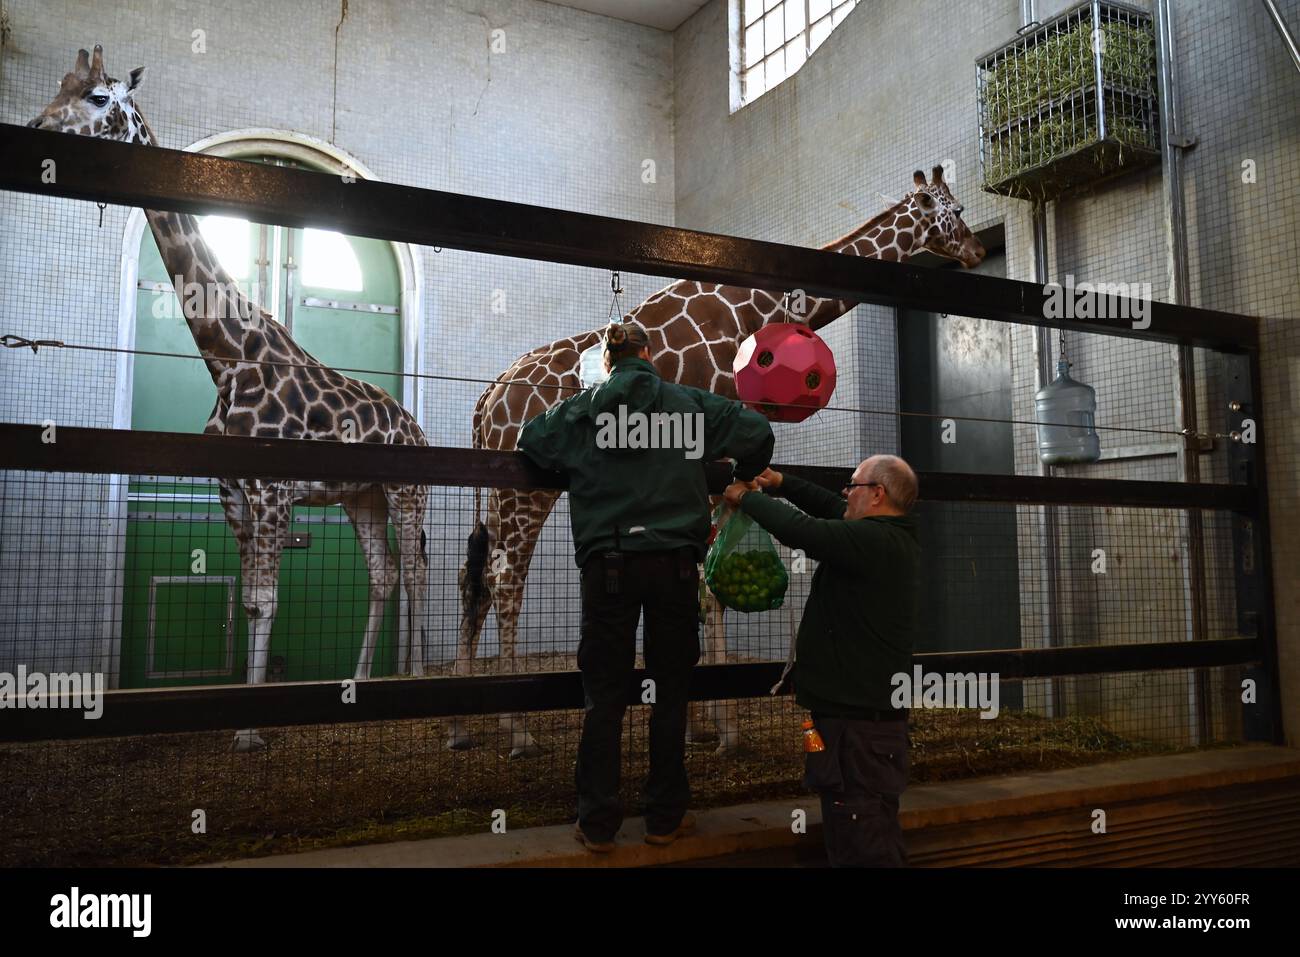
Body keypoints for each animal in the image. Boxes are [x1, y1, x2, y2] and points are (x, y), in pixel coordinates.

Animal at [30, 46, 428, 748]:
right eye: (59, 86)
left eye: (100, 97)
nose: (36, 127)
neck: (226, 356)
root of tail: (420, 430)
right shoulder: (233, 494)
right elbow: (247, 603)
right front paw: (244, 723)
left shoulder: (272, 491)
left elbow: (266, 603)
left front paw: (248, 731)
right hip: (362, 498)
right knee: (384, 577)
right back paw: (361, 683)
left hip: (406, 492)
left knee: (419, 576)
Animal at [460, 167, 982, 759]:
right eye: (957, 210)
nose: (976, 250)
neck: (759, 307)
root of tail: (487, 399)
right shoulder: (718, 450)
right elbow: (709, 588)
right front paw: (723, 727)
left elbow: (702, 580)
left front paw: (700, 721)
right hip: (524, 488)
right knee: (505, 579)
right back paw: (517, 730)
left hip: (497, 492)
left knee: (476, 579)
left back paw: (464, 726)